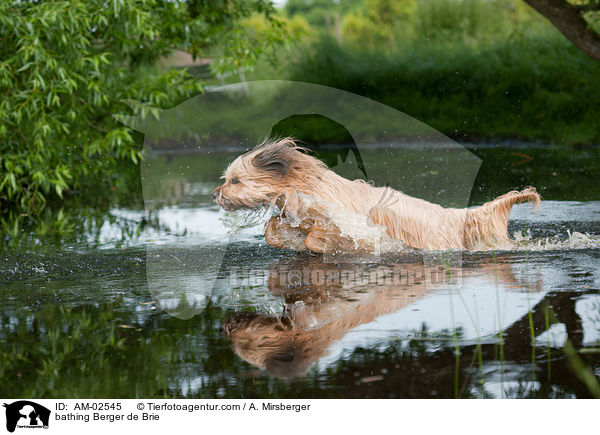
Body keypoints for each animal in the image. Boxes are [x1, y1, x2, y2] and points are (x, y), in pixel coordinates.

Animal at [211, 138, 540, 254]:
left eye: (235, 181)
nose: (215, 194)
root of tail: (456, 216)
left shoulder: (350, 224)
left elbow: (318, 237)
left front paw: (319, 245)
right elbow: (272, 231)